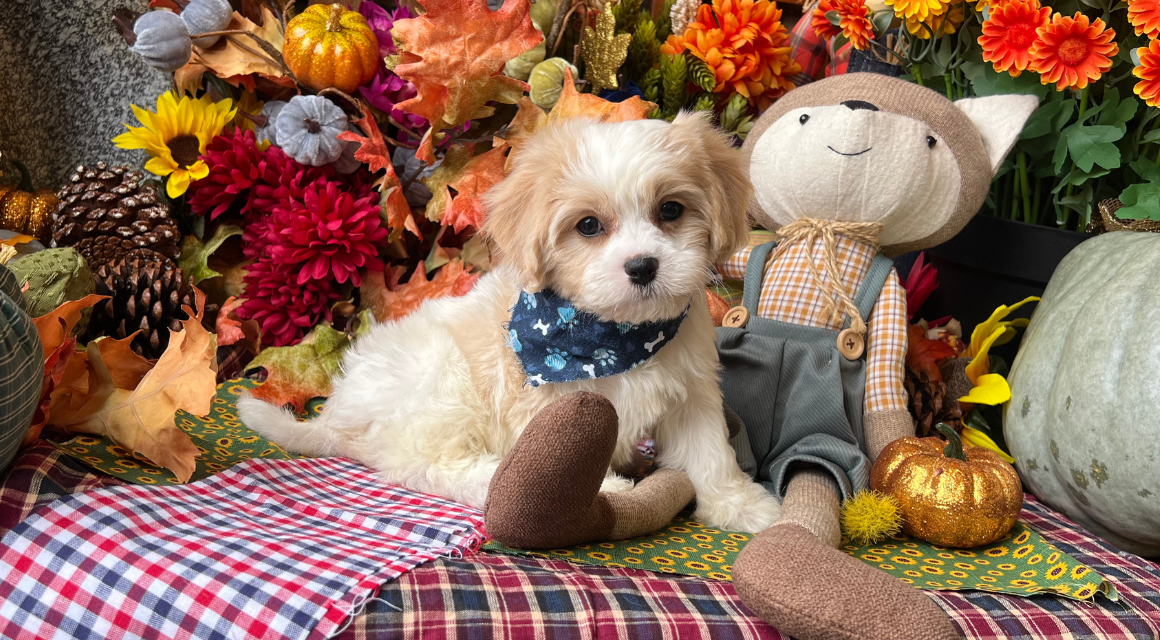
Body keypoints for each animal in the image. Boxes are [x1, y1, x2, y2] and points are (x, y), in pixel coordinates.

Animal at [242, 112, 788, 533]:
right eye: (588, 225)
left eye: (670, 210)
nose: (642, 266)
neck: (613, 337)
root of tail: (337, 413)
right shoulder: (542, 404)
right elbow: (550, 462)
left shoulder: (691, 393)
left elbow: (709, 452)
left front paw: (740, 505)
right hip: (440, 382)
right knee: (431, 465)